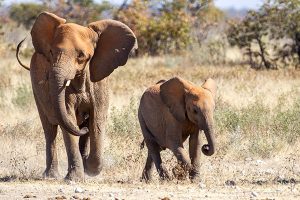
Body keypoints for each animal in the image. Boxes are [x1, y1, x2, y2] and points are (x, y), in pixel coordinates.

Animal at [17, 12, 137, 181]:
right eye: (51, 52)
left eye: (81, 56)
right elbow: (69, 119)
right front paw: (75, 178)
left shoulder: (99, 84)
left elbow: (97, 121)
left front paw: (90, 170)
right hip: (36, 92)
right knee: (50, 131)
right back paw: (51, 175)